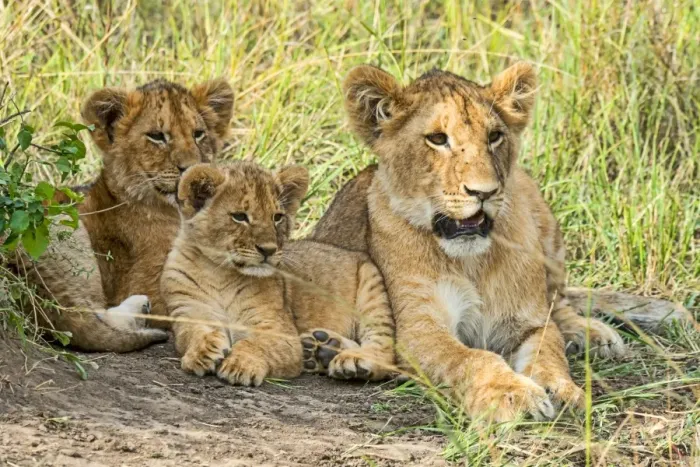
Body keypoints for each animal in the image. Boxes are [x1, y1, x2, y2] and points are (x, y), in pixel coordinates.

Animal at [161, 162, 395, 386]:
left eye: (277, 217)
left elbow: (256, 344)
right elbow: (194, 332)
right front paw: (203, 351)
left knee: (388, 351)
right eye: (239, 217)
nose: (269, 250)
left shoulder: (279, 330)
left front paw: (241, 364)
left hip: (373, 286)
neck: (221, 273)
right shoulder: (188, 310)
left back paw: (351, 359)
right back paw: (322, 347)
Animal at [307, 63, 631, 422]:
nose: (484, 192)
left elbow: (550, 351)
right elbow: (473, 359)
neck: (472, 261)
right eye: (437, 139)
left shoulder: (529, 323)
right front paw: (513, 394)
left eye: (494, 137)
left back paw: (596, 335)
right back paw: (333, 351)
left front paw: (562, 390)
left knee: (558, 303)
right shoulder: (419, 329)